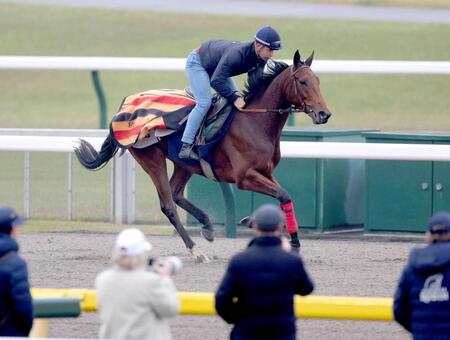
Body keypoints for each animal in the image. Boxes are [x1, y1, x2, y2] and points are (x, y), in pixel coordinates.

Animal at [74, 50, 330, 262]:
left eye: (318, 81)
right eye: (303, 81)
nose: (324, 114)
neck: (254, 120)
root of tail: (122, 110)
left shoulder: (265, 172)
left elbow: (282, 196)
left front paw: (251, 221)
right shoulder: (245, 177)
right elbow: (284, 195)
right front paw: (294, 243)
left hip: (184, 164)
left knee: (176, 194)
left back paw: (207, 225)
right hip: (151, 158)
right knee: (168, 205)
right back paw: (196, 250)